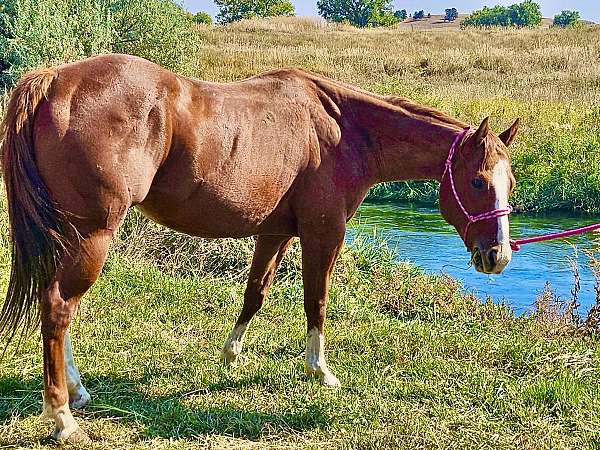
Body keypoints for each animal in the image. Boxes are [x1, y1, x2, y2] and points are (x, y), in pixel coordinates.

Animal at [0, 53, 516, 442]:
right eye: (478, 181)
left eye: (510, 183)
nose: (498, 257)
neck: (342, 130)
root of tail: (54, 80)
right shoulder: (323, 234)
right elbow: (316, 302)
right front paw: (320, 371)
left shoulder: (275, 233)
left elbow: (256, 293)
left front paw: (231, 355)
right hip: (94, 236)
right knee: (58, 308)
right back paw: (63, 418)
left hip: (70, 236)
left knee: (56, 306)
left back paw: (77, 392)